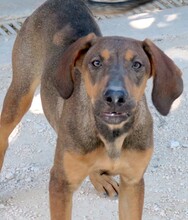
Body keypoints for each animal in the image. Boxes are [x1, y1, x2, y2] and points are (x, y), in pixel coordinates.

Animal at [0, 0, 182, 219]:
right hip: (20, 92)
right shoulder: (60, 183)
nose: (115, 97)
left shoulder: (133, 182)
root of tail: (60, 1)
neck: (111, 136)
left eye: (137, 65)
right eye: (96, 62)